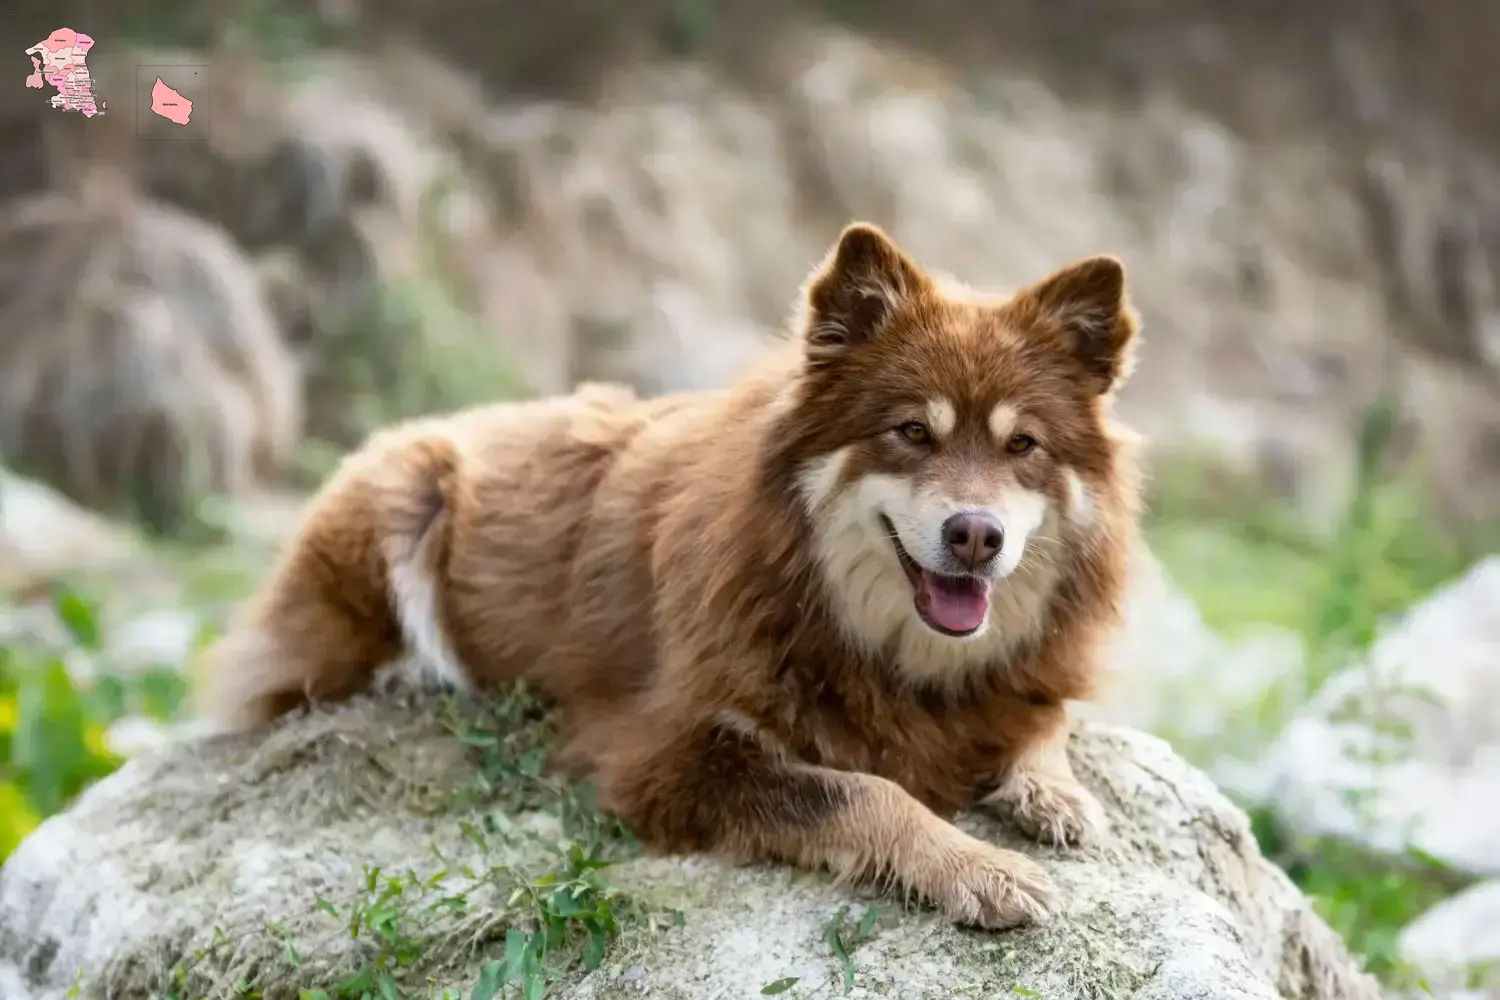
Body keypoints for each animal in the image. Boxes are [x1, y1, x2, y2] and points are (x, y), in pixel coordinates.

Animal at [199, 223, 1134, 929]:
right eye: (911, 432)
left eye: (1024, 446)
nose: (975, 537)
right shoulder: (666, 758)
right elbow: (862, 792)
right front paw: (975, 866)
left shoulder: (1022, 680)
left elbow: (1045, 720)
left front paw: (1054, 794)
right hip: (401, 494)